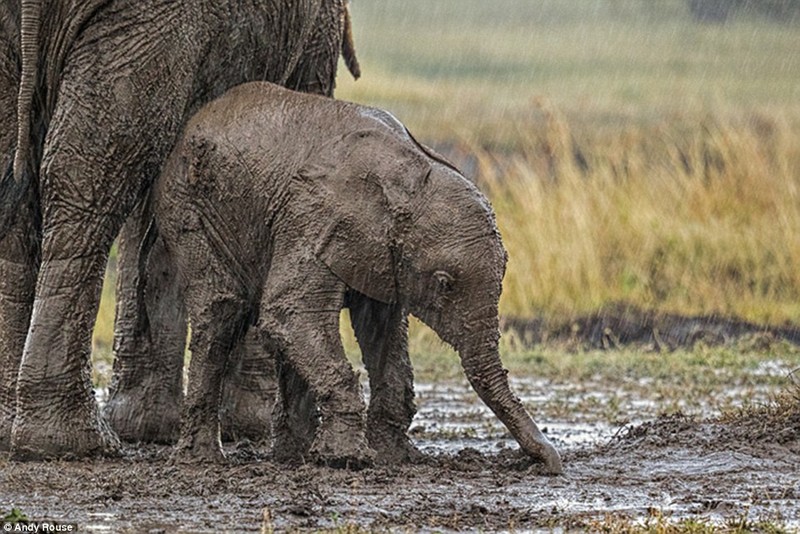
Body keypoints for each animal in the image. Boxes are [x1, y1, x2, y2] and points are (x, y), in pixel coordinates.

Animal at [153, 81, 560, 476]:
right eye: (444, 284)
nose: (548, 463)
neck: (410, 176)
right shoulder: (313, 221)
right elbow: (291, 313)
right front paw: (348, 459)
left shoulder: (383, 257)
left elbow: (382, 332)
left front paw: (394, 458)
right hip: (188, 207)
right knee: (221, 312)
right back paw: (203, 460)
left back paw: (292, 456)